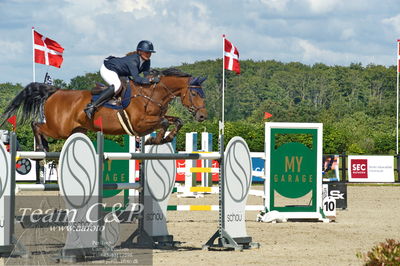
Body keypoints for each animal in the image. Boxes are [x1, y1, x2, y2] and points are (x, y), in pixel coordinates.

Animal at [2, 68, 209, 152]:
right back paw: (41, 147)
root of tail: (56, 91)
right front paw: (155, 140)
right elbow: (164, 122)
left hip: (74, 130)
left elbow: (177, 121)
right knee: (36, 124)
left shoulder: (155, 118)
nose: (202, 116)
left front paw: (165, 138)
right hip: (58, 128)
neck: (151, 94)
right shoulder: (139, 125)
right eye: (195, 93)